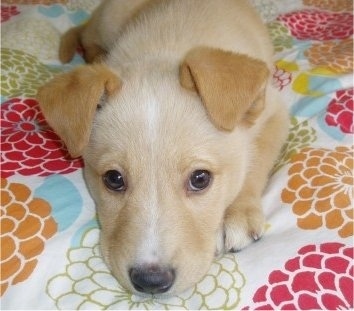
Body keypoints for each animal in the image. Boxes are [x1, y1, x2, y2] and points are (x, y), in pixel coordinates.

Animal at [37, 0, 290, 298]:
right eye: (113, 179)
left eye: (200, 179)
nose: (151, 282)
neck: (162, 52)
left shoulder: (275, 112)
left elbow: (256, 161)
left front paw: (238, 214)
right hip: (109, 20)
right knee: (87, 37)